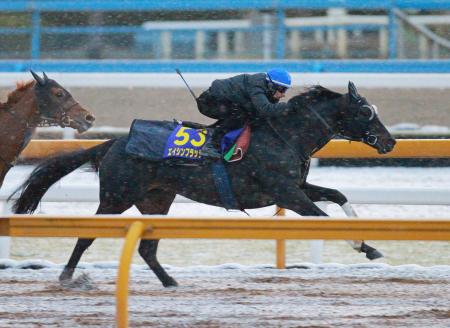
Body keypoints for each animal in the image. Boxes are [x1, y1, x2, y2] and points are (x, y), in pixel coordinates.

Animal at [13, 81, 394, 288]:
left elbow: (338, 195)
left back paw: (170, 281)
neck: (285, 135)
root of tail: (112, 143)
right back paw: (66, 276)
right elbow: (322, 217)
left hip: (157, 201)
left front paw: (370, 246)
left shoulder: (296, 186)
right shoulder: (286, 192)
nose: (390, 143)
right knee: (86, 236)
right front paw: (363, 245)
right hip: (116, 198)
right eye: (365, 112)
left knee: (146, 249)